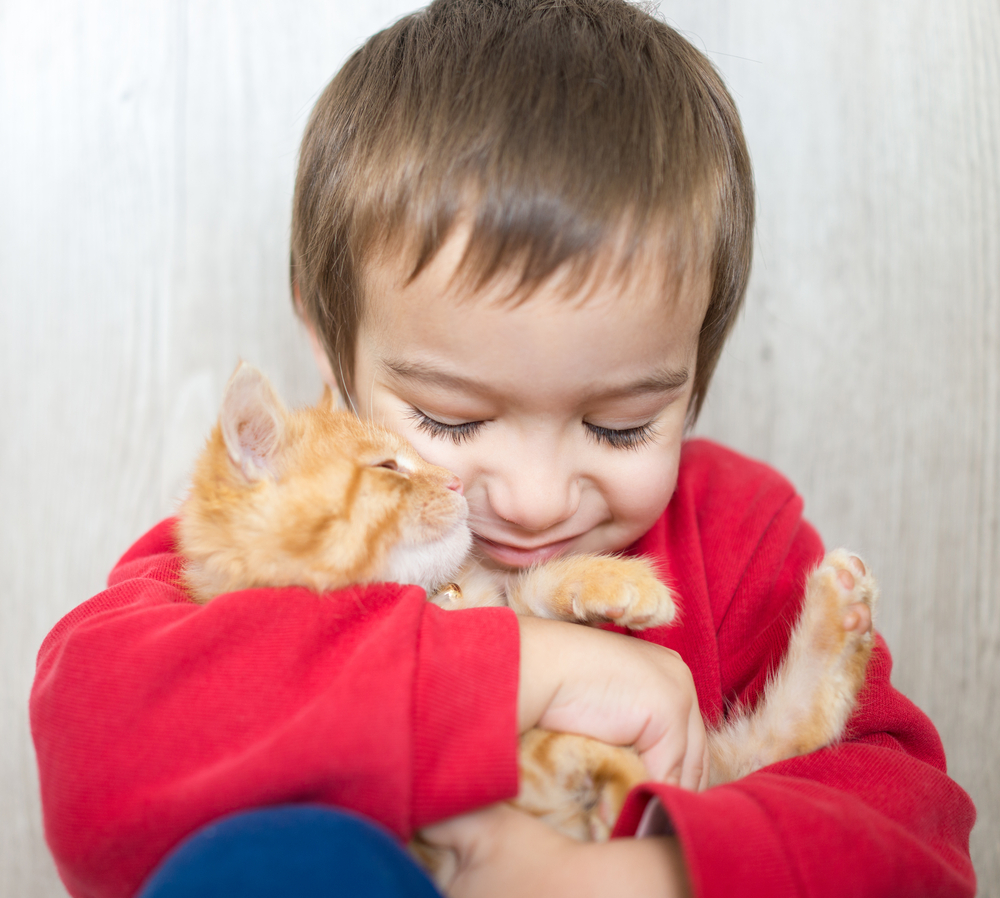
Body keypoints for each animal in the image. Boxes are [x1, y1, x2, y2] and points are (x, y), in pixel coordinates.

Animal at [178, 362, 876, 848]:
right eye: (387, 469)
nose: (455, 481)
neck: (442, 601)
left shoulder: (509, 599)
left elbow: (533, 587)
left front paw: (610, 582)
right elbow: (558, 752)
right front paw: (619, 786)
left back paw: (839, 608)